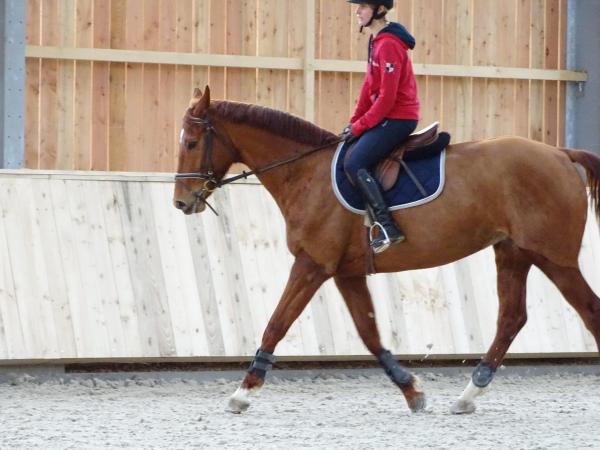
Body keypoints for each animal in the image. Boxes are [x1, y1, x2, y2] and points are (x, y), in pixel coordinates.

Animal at [173, 87, 600, 414]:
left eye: (192, 143)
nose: (181, 203)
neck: (307, 173)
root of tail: (561, 154)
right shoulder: (345, 272)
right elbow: (369, 333)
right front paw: (411, 390)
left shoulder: (312, 264)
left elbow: (277, 323)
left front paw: (243, 392)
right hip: (514, 253)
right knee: (511, 318)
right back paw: (468, 395)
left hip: (554, 257)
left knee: (588, 311)